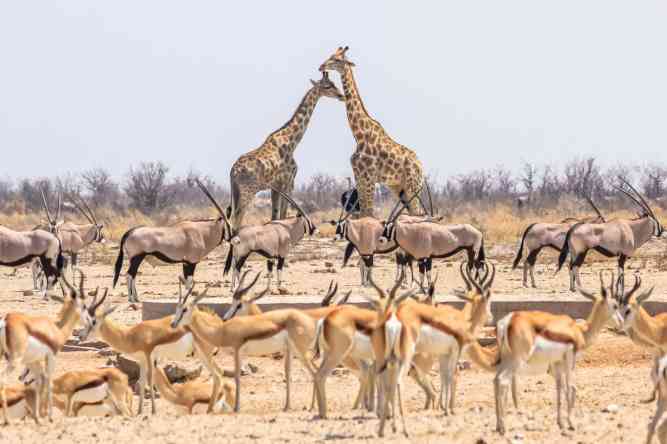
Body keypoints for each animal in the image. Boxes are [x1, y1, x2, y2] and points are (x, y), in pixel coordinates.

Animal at [229, 72, 344, 228]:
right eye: (327, 86)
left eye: (334, 83)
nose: (341, 95)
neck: (291, 142)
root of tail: (233, 171)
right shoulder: (289, 182)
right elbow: (283, 215)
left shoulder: (275, 186)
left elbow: (275, 216)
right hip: (247, 192)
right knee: (237, 219)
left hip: (235, 192)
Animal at [319, 46, 425, 217]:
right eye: (331, 55)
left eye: (337, 59)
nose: (321, 66)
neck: (359, 134)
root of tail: (421, 167)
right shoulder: (359, 176)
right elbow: (365, 213)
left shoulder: (368, 176)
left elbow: (368, 212)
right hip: (400, 187)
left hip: (412, 186)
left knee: (418, 212)